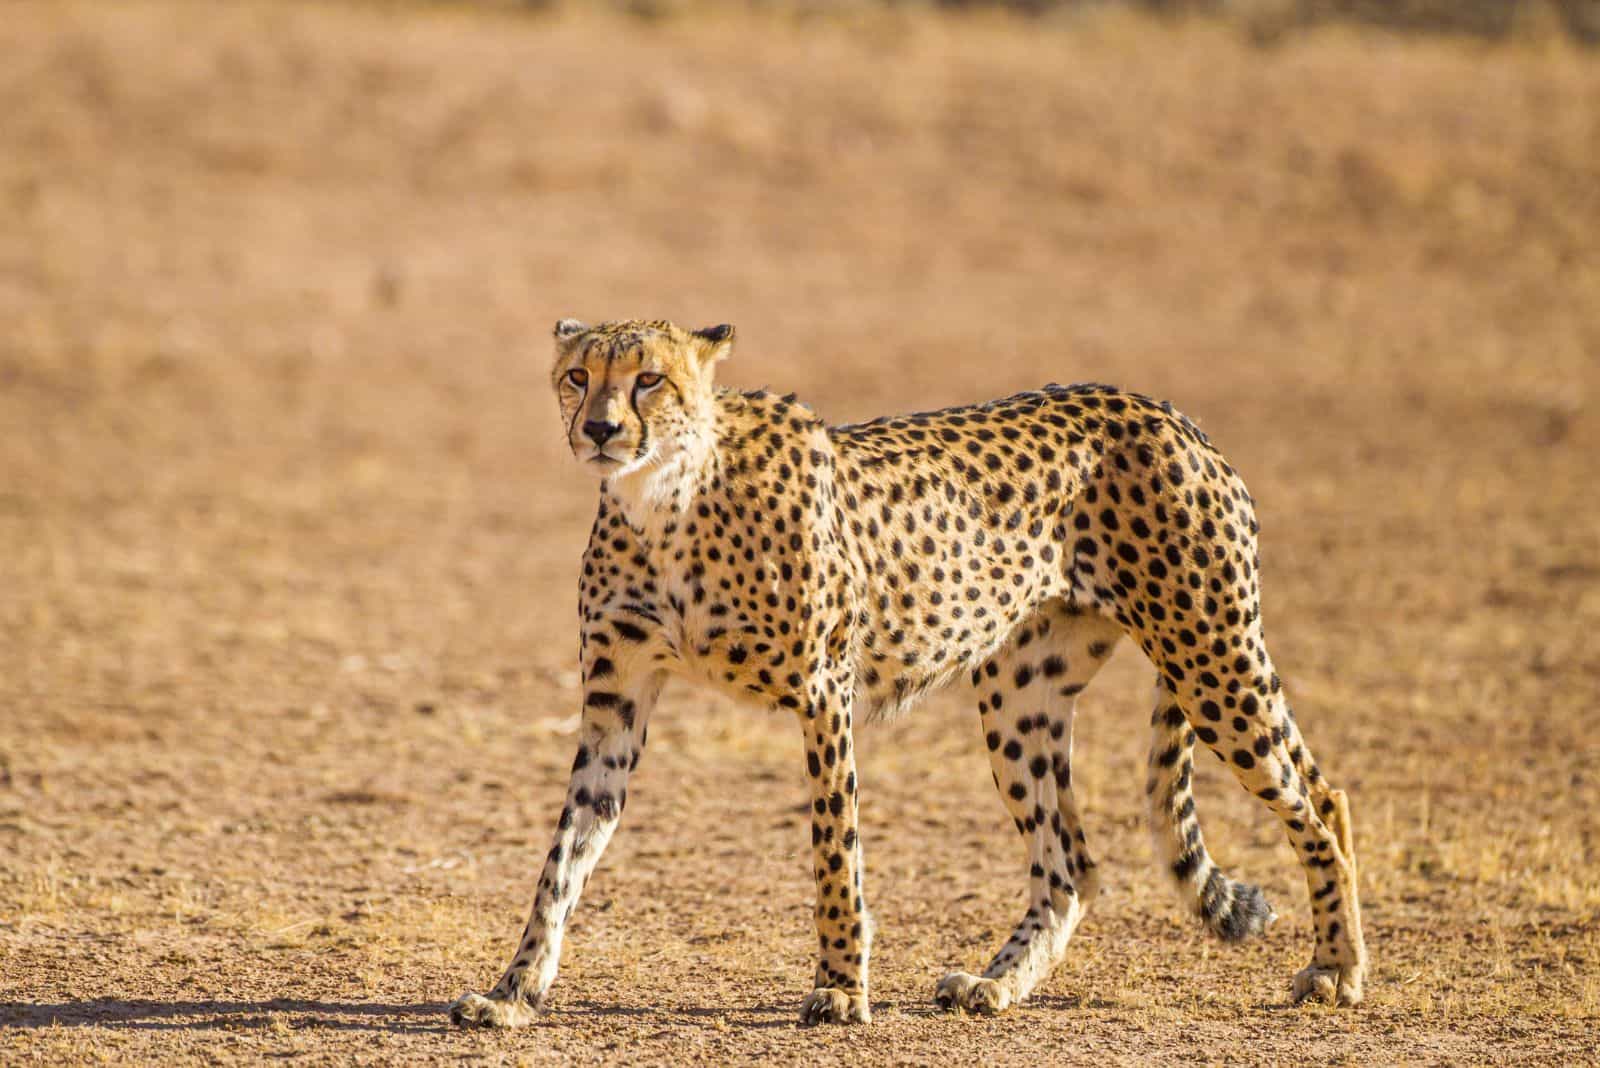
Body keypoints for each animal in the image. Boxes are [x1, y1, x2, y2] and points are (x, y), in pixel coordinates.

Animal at [448, 316, 1363, 1023]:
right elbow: (562, 859)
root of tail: (1166, 412)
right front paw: (513, 991)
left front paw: (840, 989)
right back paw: (997, 986)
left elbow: (835, 849)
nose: (600, 430)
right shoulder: (614, 707)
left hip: (1210, 655)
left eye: (649, 380)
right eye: (578, 375)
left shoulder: (825, 691)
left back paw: (1339, 969)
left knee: (1320, 801)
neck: (666, 500)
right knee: (1075, 863)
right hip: (1022, 695)